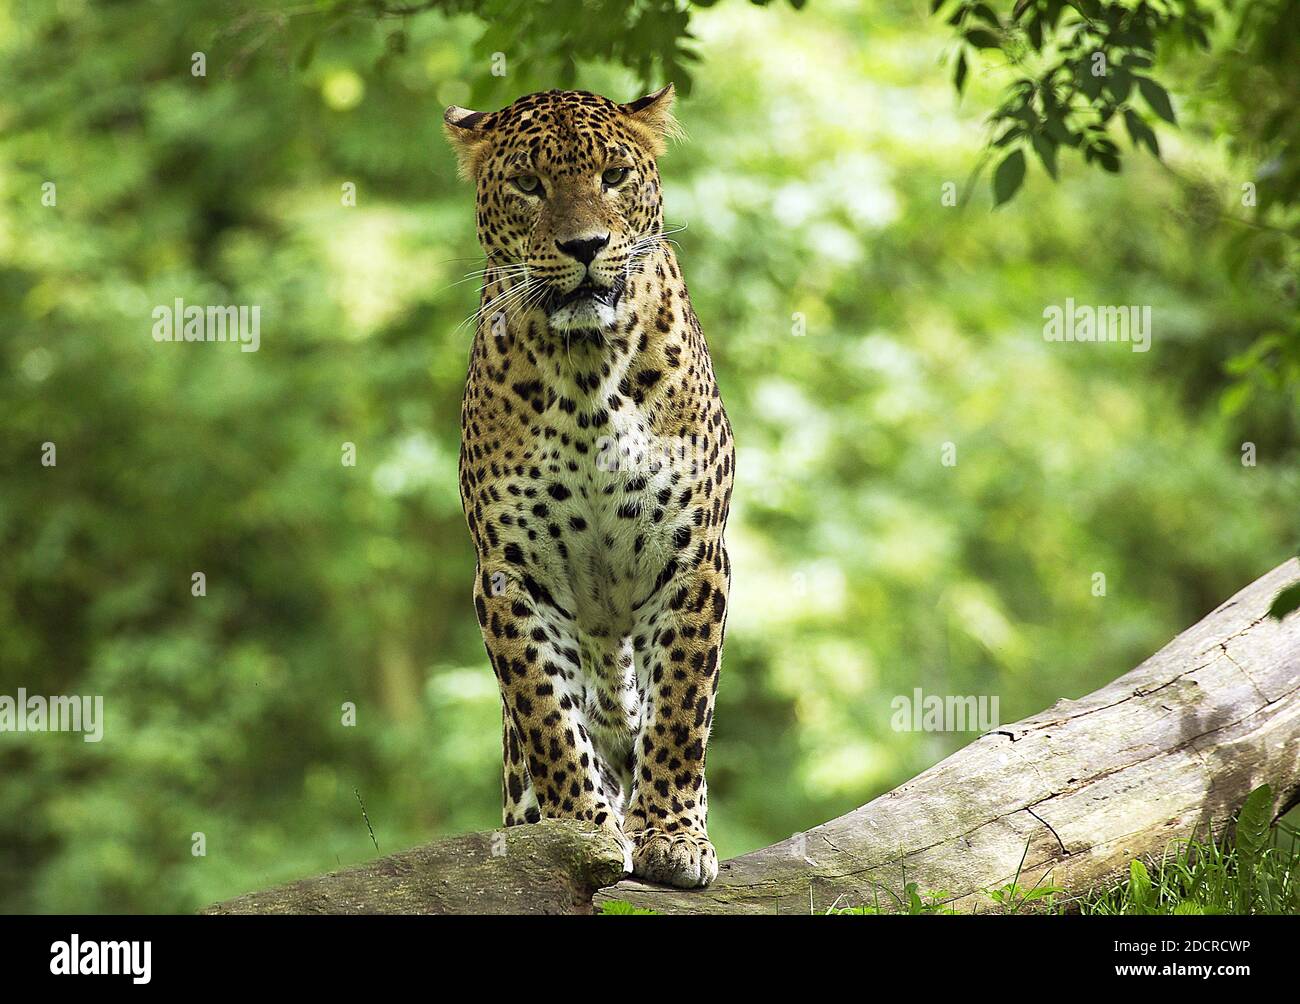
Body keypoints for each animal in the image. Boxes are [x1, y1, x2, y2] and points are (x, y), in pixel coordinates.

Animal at [444, 85, 734, 888]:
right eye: (528, 184)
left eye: (613, 176)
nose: (584, 247)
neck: (585, 376)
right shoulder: (511, 575)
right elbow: (546, 710)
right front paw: (586, 831)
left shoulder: (693, 557)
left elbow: (680, 707)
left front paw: (669, 836)